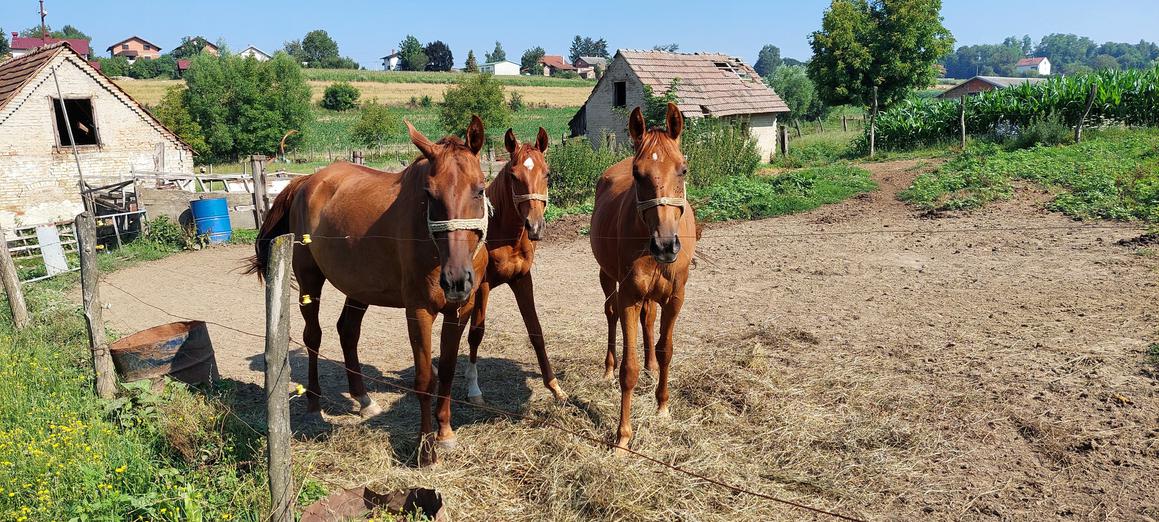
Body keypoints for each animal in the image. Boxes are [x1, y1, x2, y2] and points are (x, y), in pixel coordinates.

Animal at [249, 115, 489, 464]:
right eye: (430, 195)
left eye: (480, 189)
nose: (457, 279)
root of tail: (306, 181)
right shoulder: (418, 312)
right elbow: (424, 378)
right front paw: (425, 448)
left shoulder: (460, 310)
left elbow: (446, 371)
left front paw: (445, 434)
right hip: (309, 279)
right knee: (313, 336)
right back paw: (314, 403)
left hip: (358, 287)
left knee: (347, 331)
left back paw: (363, 398)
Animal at [463, 125, 567, 403]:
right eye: (513, 175)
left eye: (547, 173)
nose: (535, 226)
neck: (504, 234)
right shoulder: (484, 286)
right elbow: (476, 333)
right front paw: (474, 389)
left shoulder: (522, 279)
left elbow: (536, 330)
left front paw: (555, 387)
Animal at [593, 103, 690, 452]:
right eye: (638, 173)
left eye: (683, 169)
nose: (665, 245)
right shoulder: (629, 298)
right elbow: (628, 369)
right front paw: (622, 436)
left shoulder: (675, 298)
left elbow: (666, 349)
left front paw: (662, 405)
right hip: (607, 277)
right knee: (610, 314)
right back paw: (608, 368)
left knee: (649, 321)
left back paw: (651, 368)